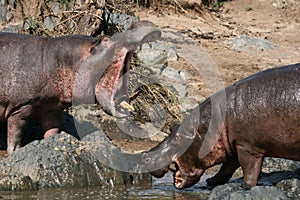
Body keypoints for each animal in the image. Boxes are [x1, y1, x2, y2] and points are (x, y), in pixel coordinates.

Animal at [0, 21, 162, 153]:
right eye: (106, 39)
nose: (138, 23)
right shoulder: (21, 106)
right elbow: (16, 131)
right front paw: (14, 151)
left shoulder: (51, 108)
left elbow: (52, 130)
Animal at [141, 63, 300, 189]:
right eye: (172, 127)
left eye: (179, 137)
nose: (146, 155)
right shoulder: (233, 145)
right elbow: (227, 167)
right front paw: (211, 181)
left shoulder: (247, 147)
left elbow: (249, 168)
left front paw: (245, 187)